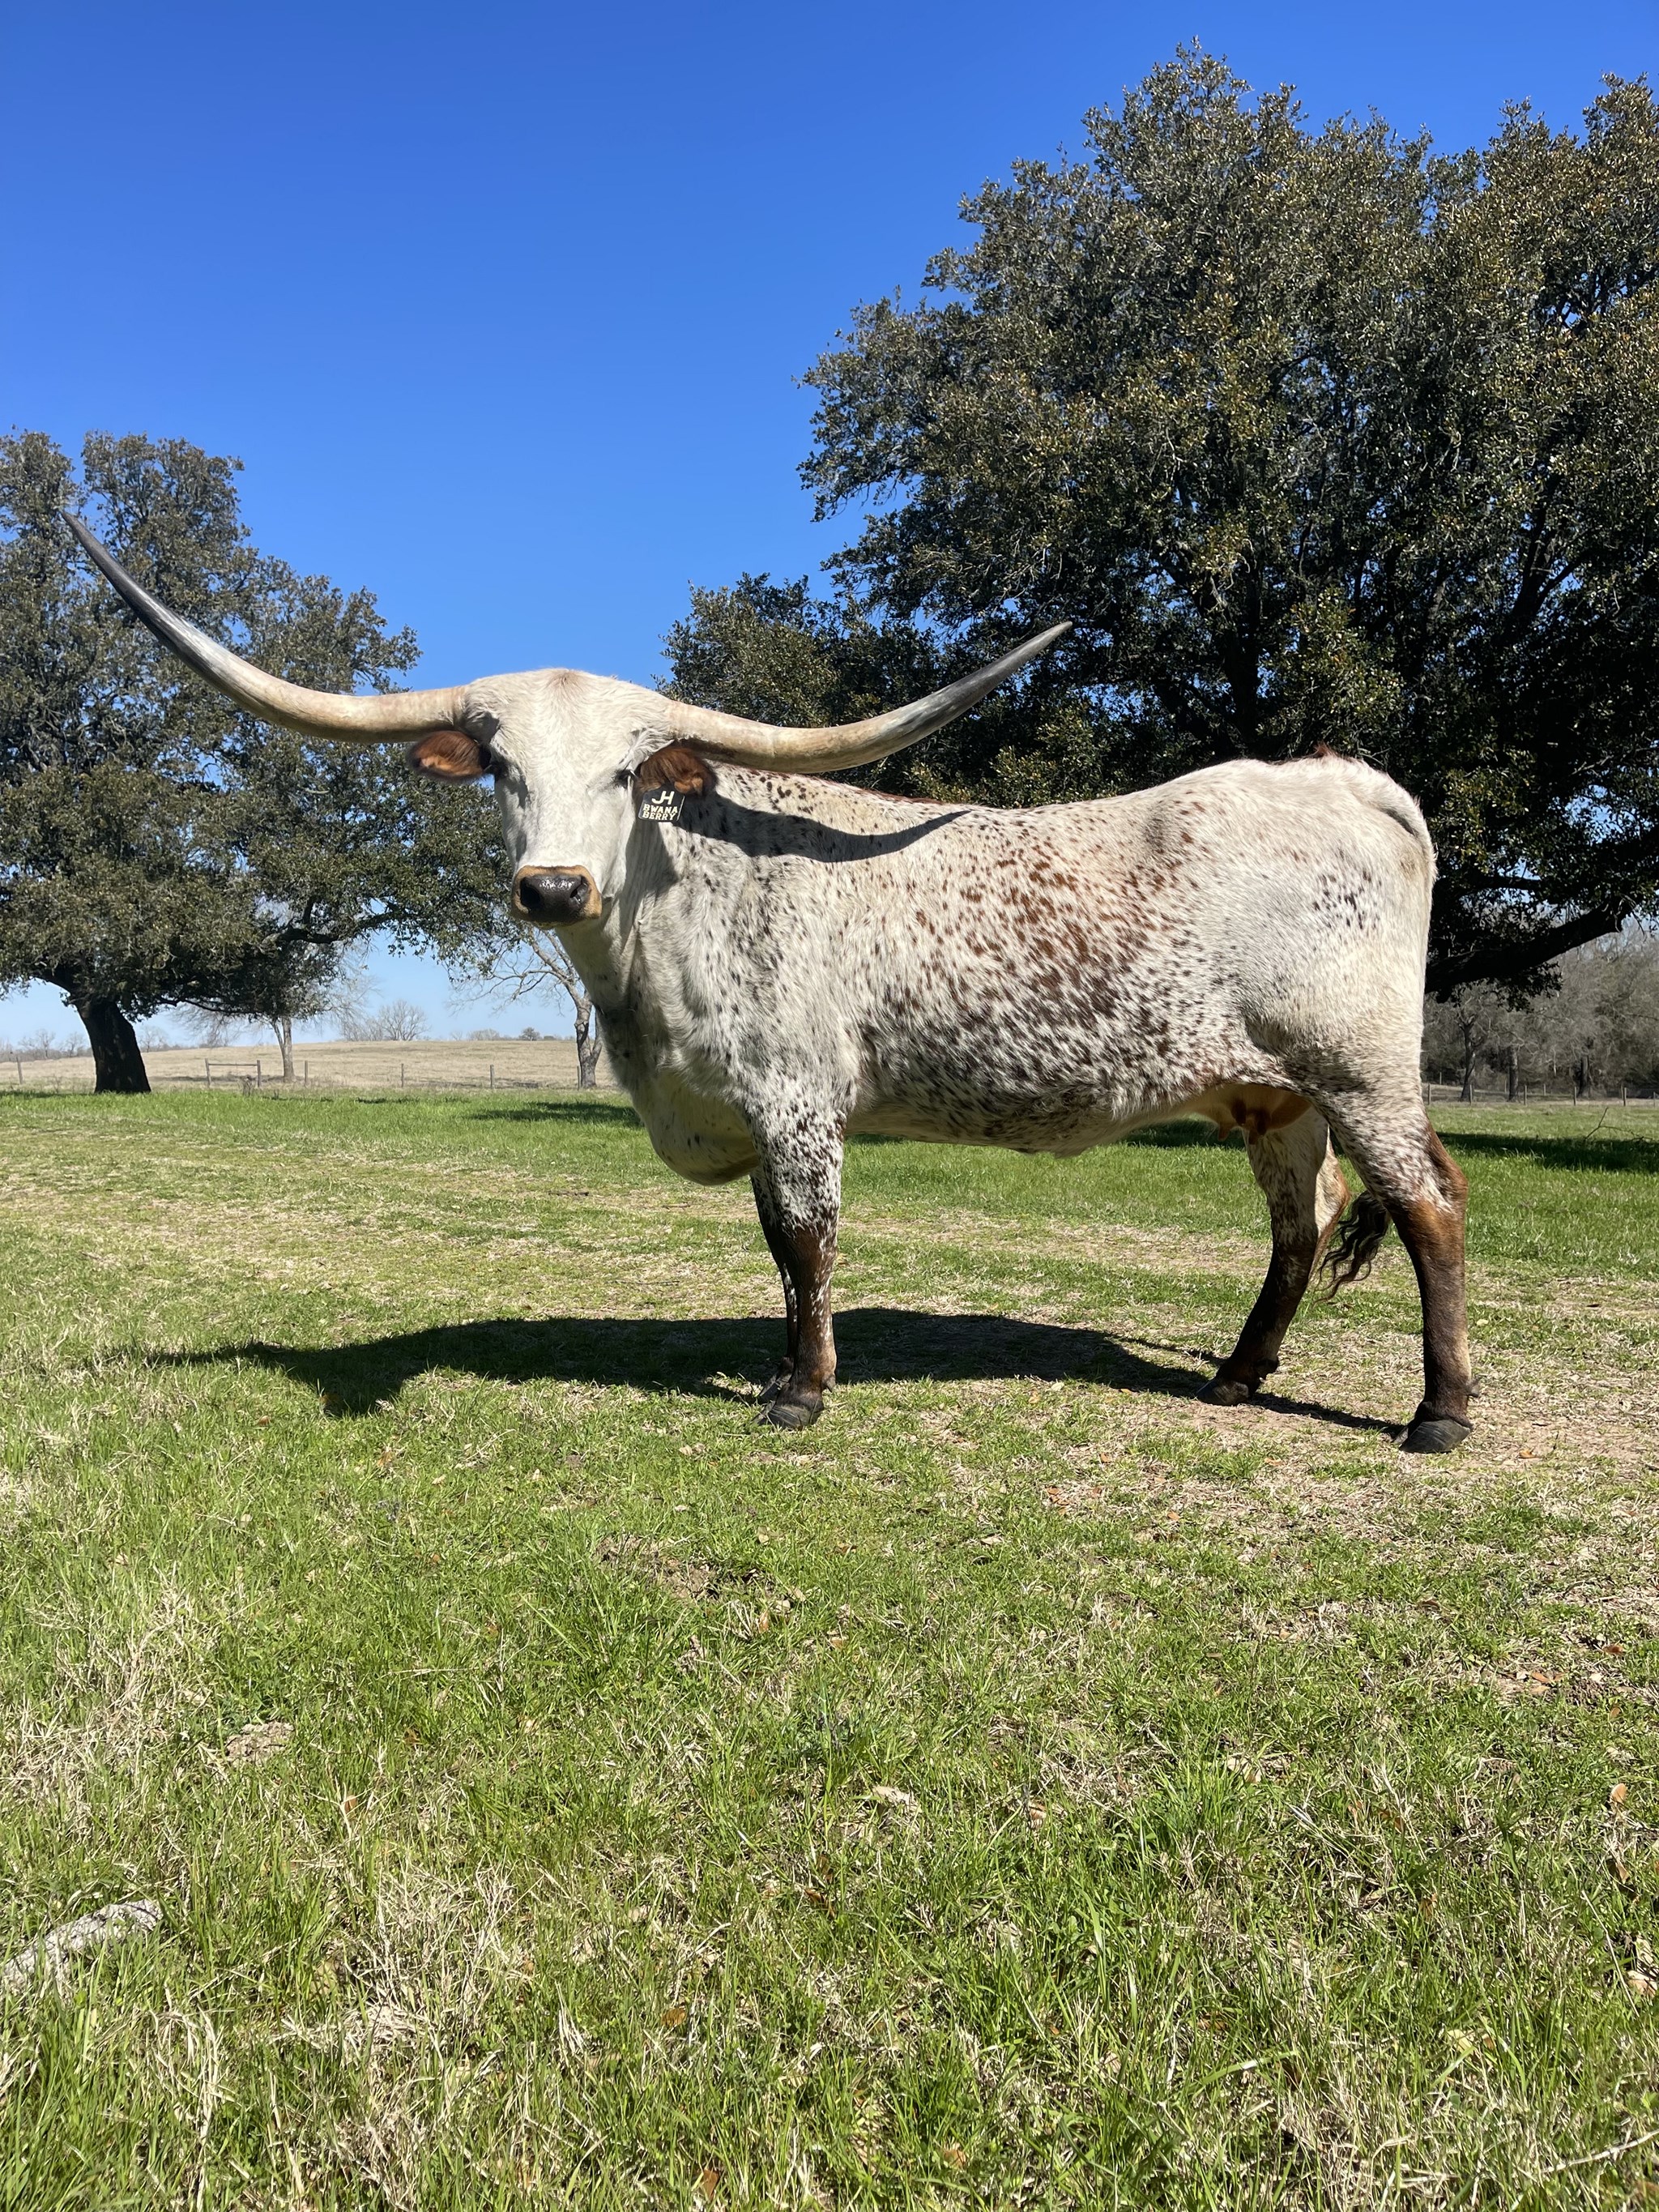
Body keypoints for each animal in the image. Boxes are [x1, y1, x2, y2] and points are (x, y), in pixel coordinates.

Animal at [67, 516, 1472, 1453]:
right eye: (504, 771)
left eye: (628, 773)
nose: (552, 888)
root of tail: (1343, 776)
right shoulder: (742, 1107)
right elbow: (772, 1250)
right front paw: (778, 1361)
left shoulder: (797, 1101)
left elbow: (808, 1237)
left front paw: (803, 1390)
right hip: (1273, 1094)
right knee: (1298, 1228)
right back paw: (1238, 1373)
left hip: (1360, 1069)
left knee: (1429, 1210)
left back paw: (1440, 1413)